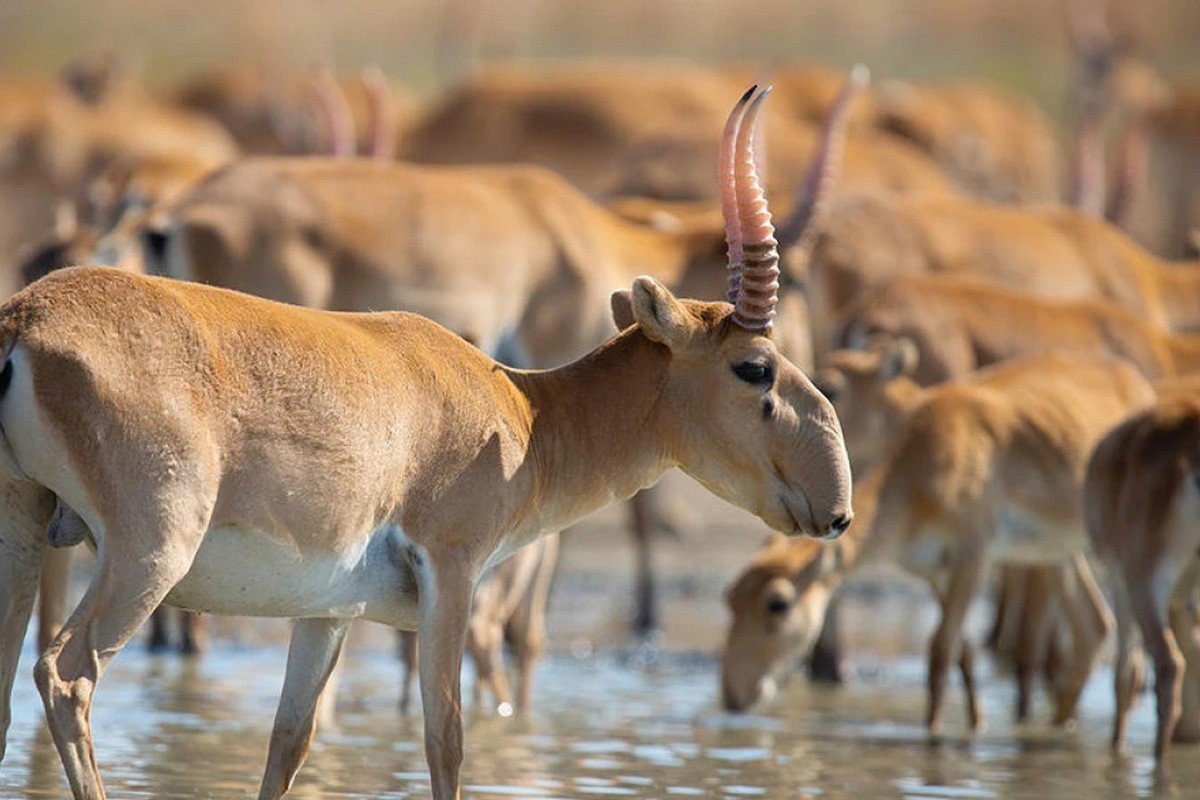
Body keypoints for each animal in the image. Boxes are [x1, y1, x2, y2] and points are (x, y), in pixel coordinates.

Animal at [0, 84, 854, 796]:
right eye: (754, 367)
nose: (836, 509)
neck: (523, 415)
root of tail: (25, 320)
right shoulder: (452, 577)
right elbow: (446, 738)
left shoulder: (327, 612)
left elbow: (289, 744)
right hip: (147, 553)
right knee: (67, 677)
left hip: (27, 536)